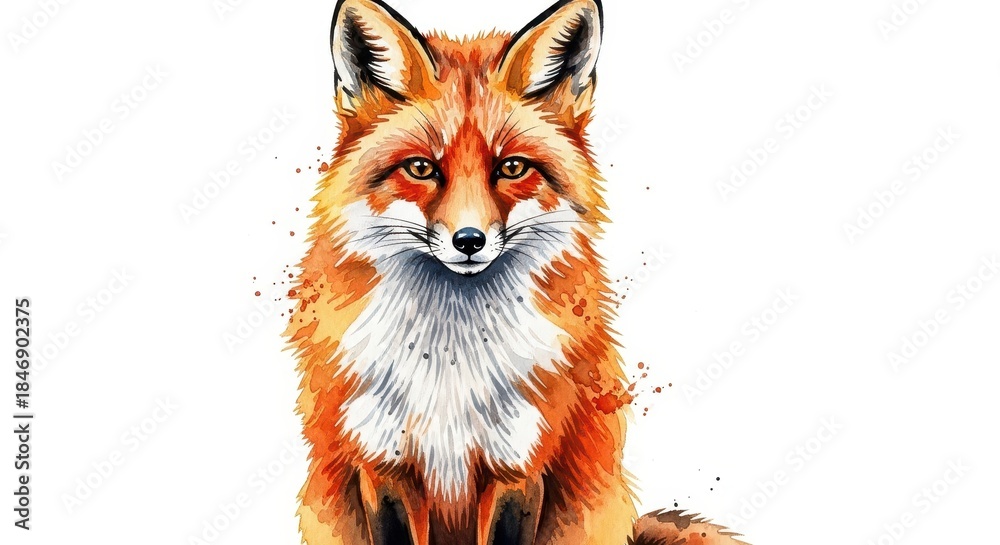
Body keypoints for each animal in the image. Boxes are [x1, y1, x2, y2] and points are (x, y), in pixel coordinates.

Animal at [285, 0, 747, 544]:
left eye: (511, 168)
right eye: (421, 169)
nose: (468, 241)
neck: (450, 364)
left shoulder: (520, 467)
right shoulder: (382, 465)